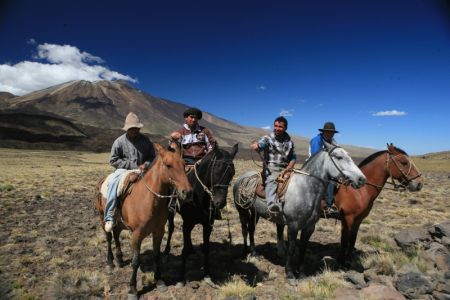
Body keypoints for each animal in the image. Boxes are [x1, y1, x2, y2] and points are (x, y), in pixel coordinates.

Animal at [94, 142, 192, 298]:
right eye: (168, 165)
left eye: (184, 164)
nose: (187, 192)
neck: (149, 200)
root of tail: (102, 181)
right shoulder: (136, 234)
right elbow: (135, 261)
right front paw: (133, 289)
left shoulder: (159, 231)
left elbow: (157, 255)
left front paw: (159, 281)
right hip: (102, 218)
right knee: (109, 237)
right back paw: (110, 263)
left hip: (119, 222)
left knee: (116, 235)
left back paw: (119, 259)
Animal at [163, 144, 239, 288]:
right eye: (216, 170)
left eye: (232, 173)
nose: (220, 202)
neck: (198, 196)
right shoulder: (186, 224)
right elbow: (184, 250)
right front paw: (180, 278)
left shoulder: (207, 225)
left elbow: (206, 249)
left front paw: (207, 276)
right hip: (170, 211)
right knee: (171, 228)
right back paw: (166, 250)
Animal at [232, 142, 366, 280]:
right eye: (339, 157)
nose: (362, 179)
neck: (305, 188)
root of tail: (243, 178)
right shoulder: (293, 225)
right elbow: (291, 248)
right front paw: (290, 273)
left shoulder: (309, 227)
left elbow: (303, 248)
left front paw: (301, 273)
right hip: (241, 210)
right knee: (244, 229)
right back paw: (244, 251)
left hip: (255, 212)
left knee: (251, 228)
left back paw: (254, 252)